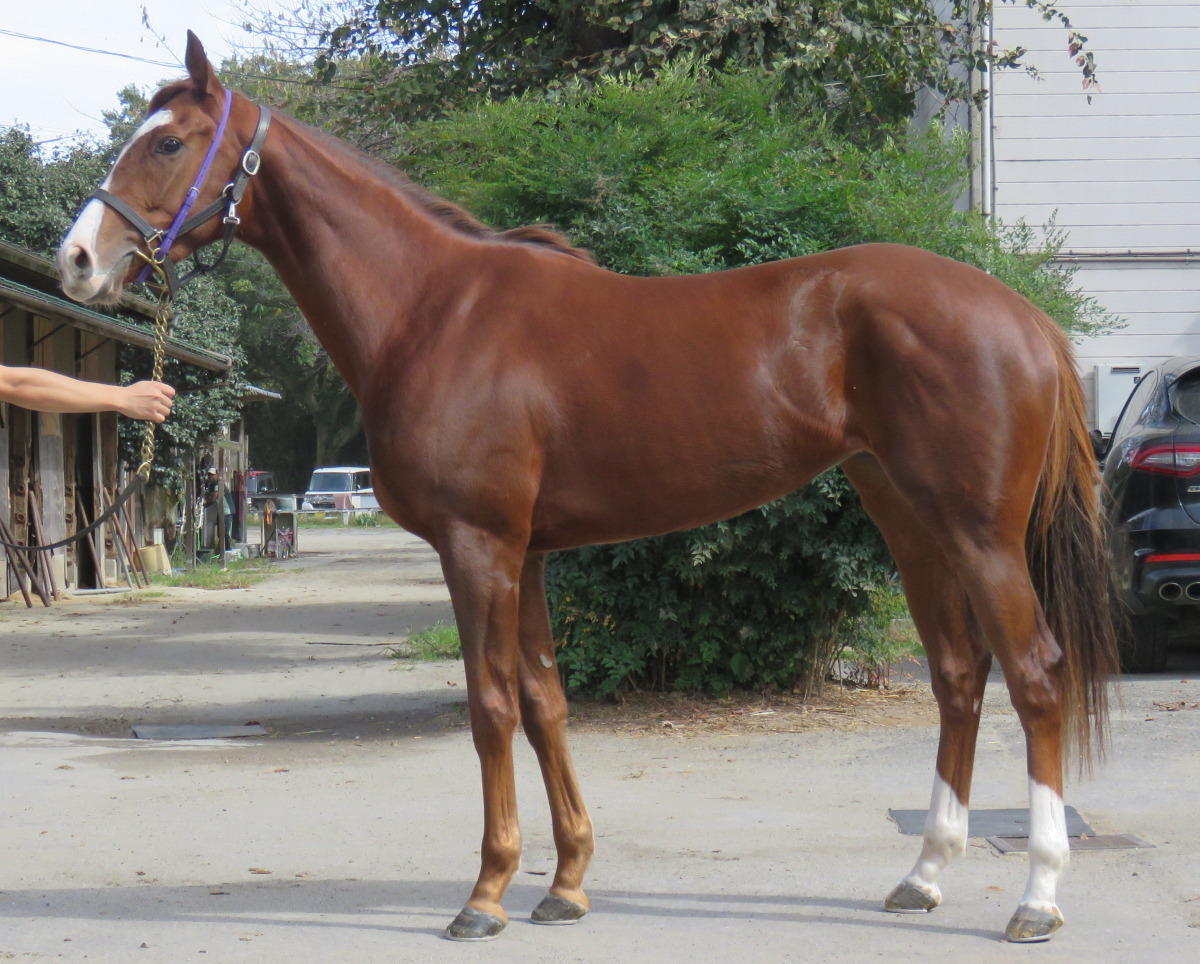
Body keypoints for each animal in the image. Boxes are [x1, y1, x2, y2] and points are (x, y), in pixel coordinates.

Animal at [57, 32, 1117, 945]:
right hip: (908, 518)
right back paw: (924, 877)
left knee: (1035, 676)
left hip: (979, 532)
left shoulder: (478, 547)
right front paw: (564, 884)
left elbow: (490, 706)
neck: (432, 309)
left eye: (169, 141)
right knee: (958, 676)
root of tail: (1022, 316)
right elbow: (544, 701)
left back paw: (1037, 898)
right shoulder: (524, 553)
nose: (78, 260)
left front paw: (485, 894)